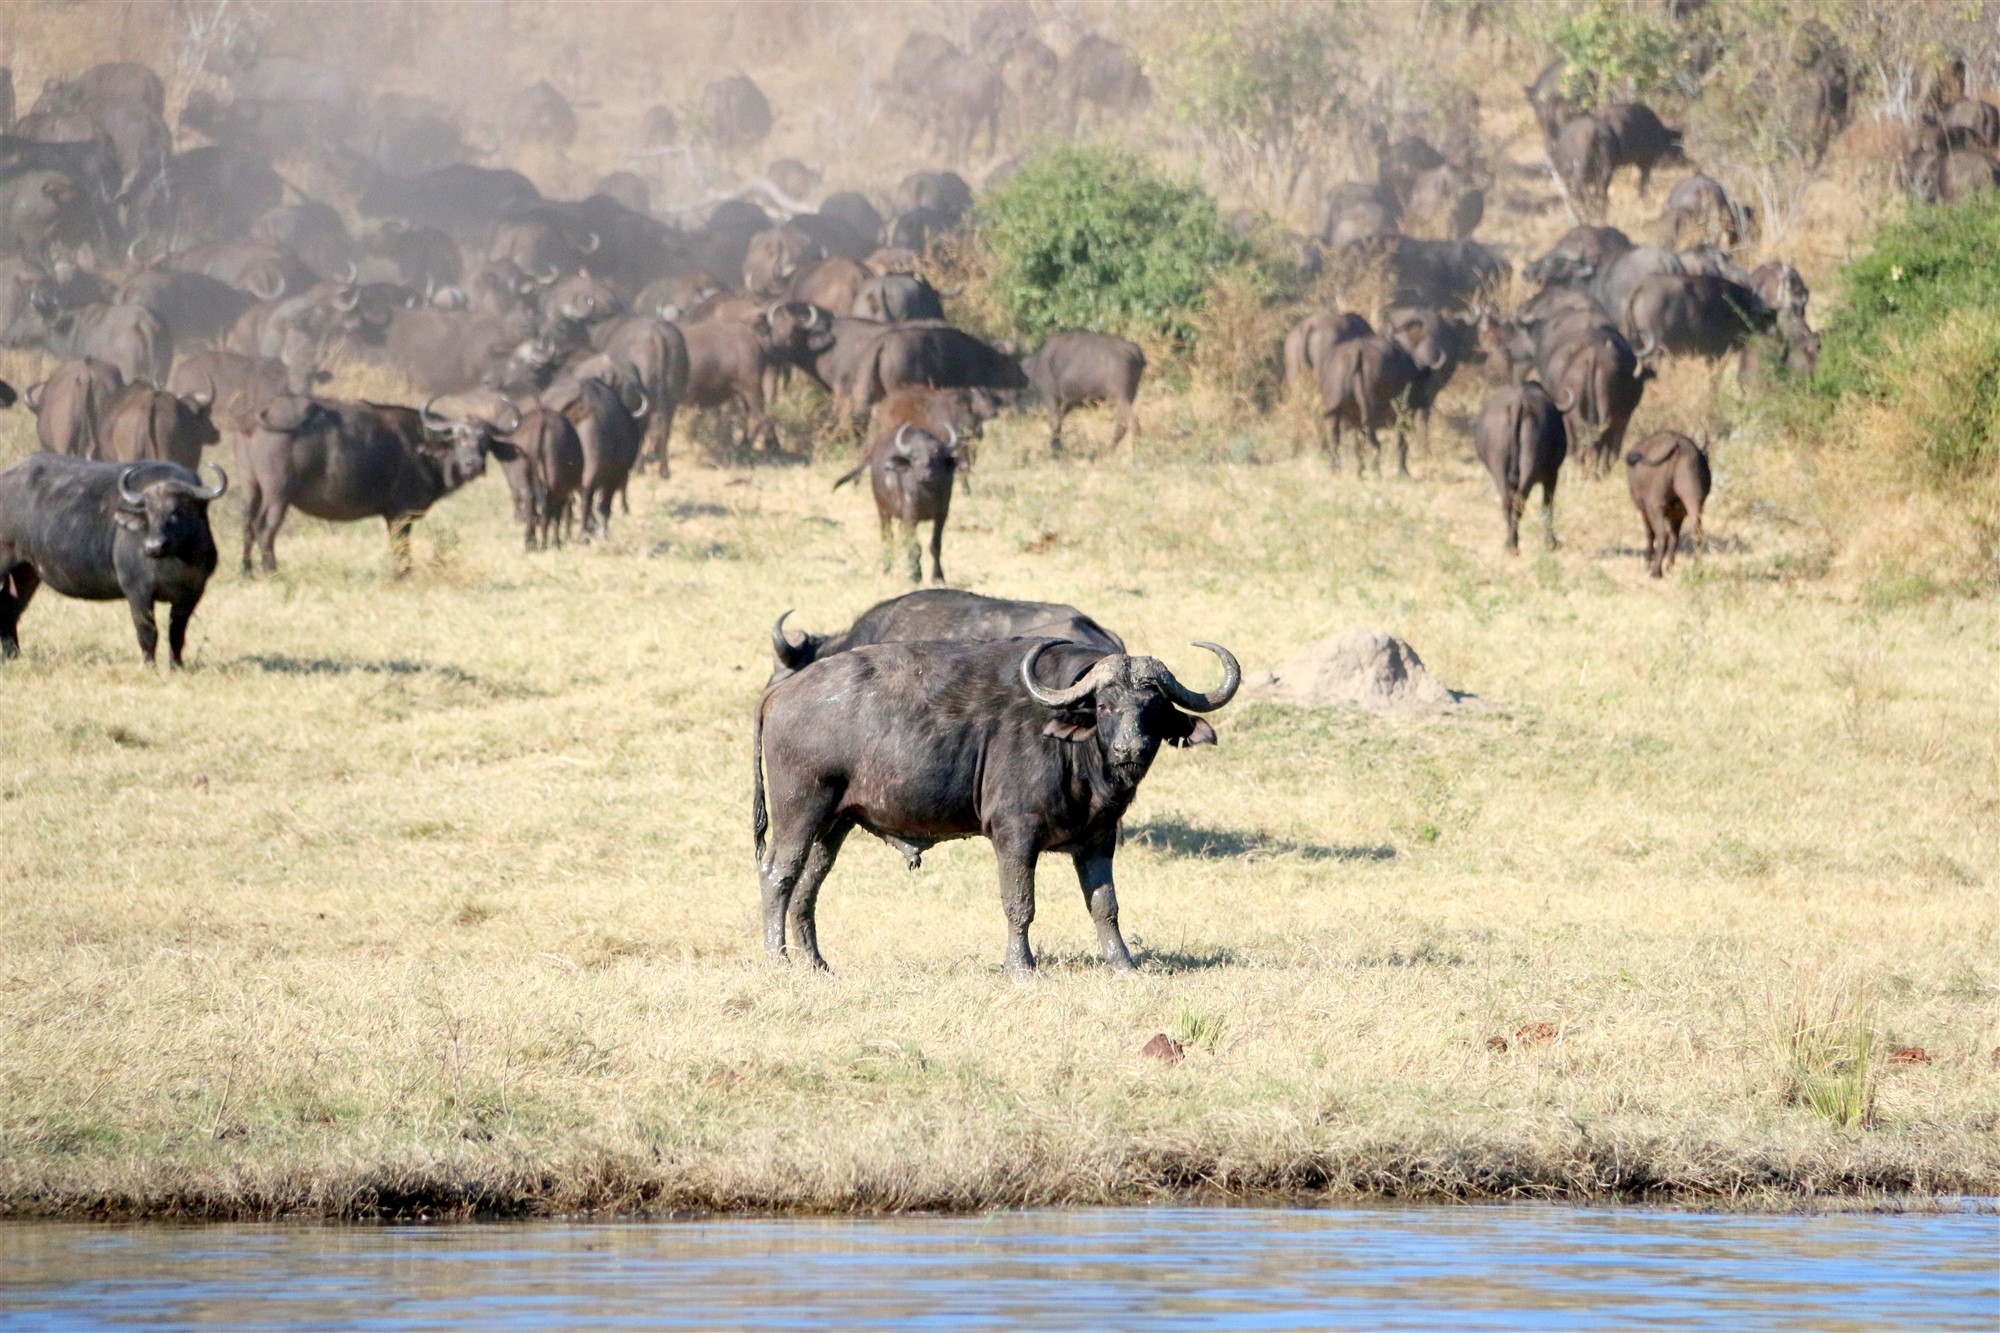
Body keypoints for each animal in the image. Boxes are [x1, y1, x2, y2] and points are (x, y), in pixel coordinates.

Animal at [0, 452, 228, 664]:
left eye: (177, 511)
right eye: (148, 512)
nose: (153, 546)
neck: (175, 559)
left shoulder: (192, 593)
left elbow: (177, 634)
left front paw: (176, 665)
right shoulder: (137, 591)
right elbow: (147, 632)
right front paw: (150, 665)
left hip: (26, 572)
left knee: (11, 609)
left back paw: (13, 655)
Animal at [756, 632, 1240, 964]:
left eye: (1152, 709)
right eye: (1104, 706)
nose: (1129, 750)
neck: (1075, 756)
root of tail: (779, 694)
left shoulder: (1099, 839)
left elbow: (1105, 905)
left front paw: (1121, 962)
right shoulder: (1014, 835)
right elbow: (1020, 904)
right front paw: (1021, 966)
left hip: (834, 823)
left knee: (808, 886)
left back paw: (816, 963)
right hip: (799, 810)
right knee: (778, 875)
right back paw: (778, 959)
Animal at [1480, 378, 1568, 548]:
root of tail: (1517, 404)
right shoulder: (1552, 474)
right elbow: (1548, 504)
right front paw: (1551, 542)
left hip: (1499, 469)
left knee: (1508, 501)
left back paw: (1510, 543)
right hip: (1531, 468)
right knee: (1520, 501)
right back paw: (1515, 544)